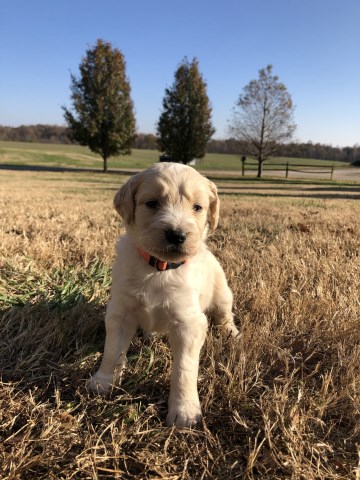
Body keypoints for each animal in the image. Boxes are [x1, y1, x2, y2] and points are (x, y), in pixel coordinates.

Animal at [86, 162, 239, 428]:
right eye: (152, 203)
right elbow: (112, 351)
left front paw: (185, 410)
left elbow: (184, 370)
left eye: (197, 207)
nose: (177, 235)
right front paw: (103, 382)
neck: (159, 267)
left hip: (222, 293)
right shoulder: (120, 313)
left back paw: (231, 332)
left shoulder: (189, 324)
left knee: (224, 314)